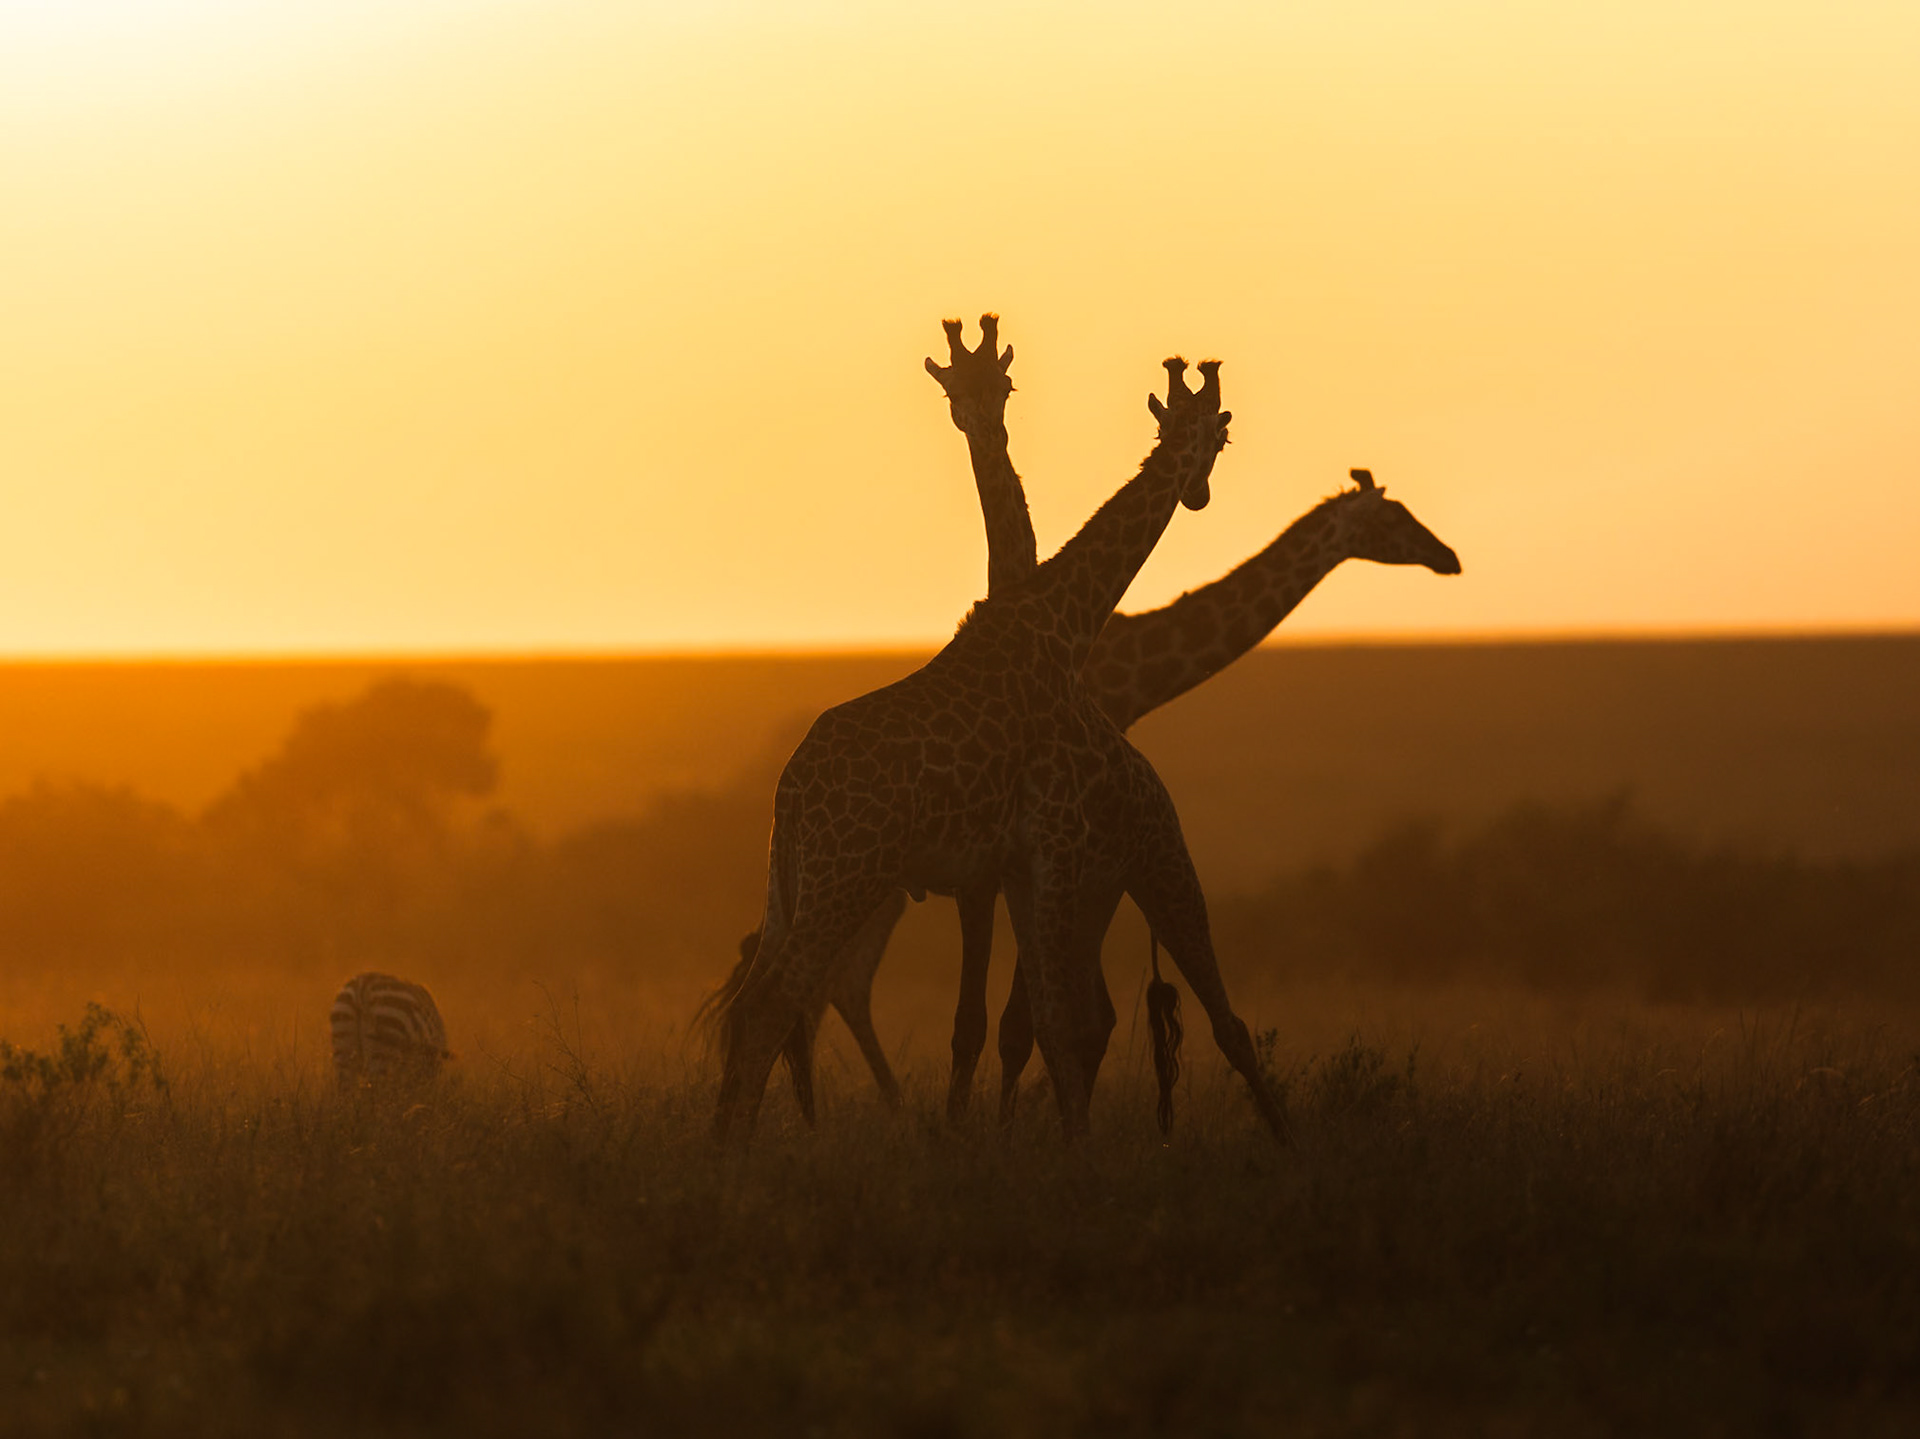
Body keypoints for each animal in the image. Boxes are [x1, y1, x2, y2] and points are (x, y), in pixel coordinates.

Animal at [712, 347, 1273, 1142]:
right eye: (1221, 439)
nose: (1198, 494)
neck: (1061, 618)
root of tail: (790, 791)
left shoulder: (1007, 867)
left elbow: (1032, 1021)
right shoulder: (1050, 849)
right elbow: (1051, 1022)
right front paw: (1068, 1146)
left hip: (790, 881)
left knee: (753, 1004)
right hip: (847, 877)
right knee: (776, 1004)